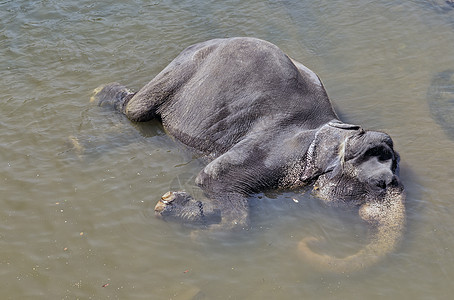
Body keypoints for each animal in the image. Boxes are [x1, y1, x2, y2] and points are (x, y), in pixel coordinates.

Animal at [91, 37, 404, 272]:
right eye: (379, 185)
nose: (314, 241)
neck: (332, 132)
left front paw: (177, 205)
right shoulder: (273, 151)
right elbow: (211, 178)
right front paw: (199, 233)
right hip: (182, 69)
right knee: (135, 110)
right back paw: (101, 93)